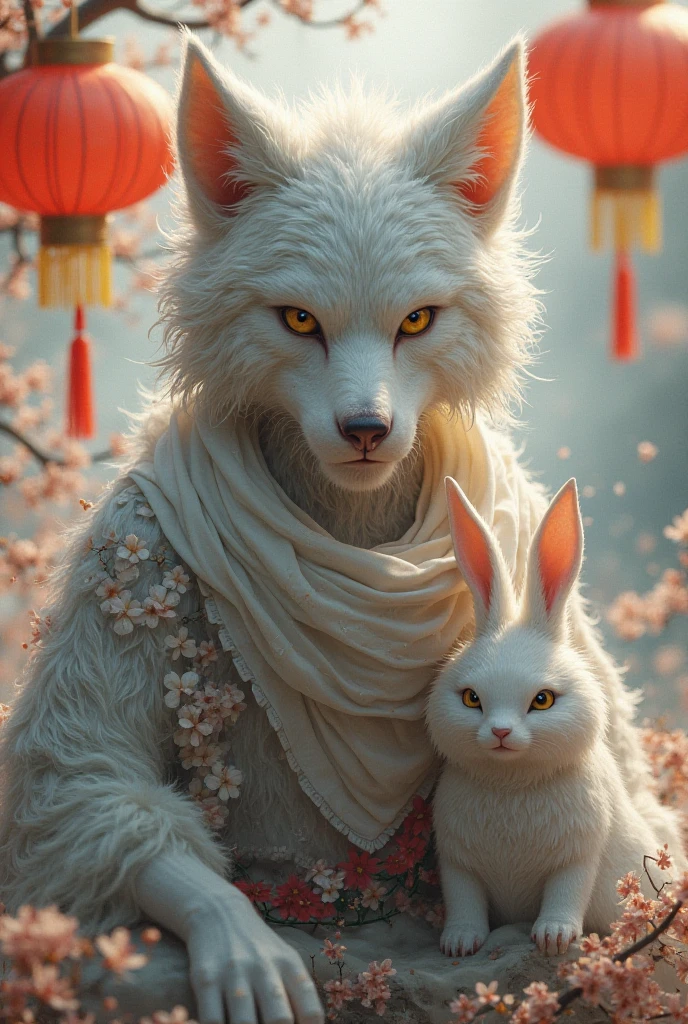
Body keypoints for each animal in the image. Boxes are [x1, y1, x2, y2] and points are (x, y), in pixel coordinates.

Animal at [426, 477, 686, 958]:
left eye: (542, 700)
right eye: (472, 698)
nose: (501, 731)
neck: (512, 785)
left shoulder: (578, 857)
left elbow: (566, 895)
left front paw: (554, 939)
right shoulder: (456, 861)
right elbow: (463, 901)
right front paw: (458, 944)